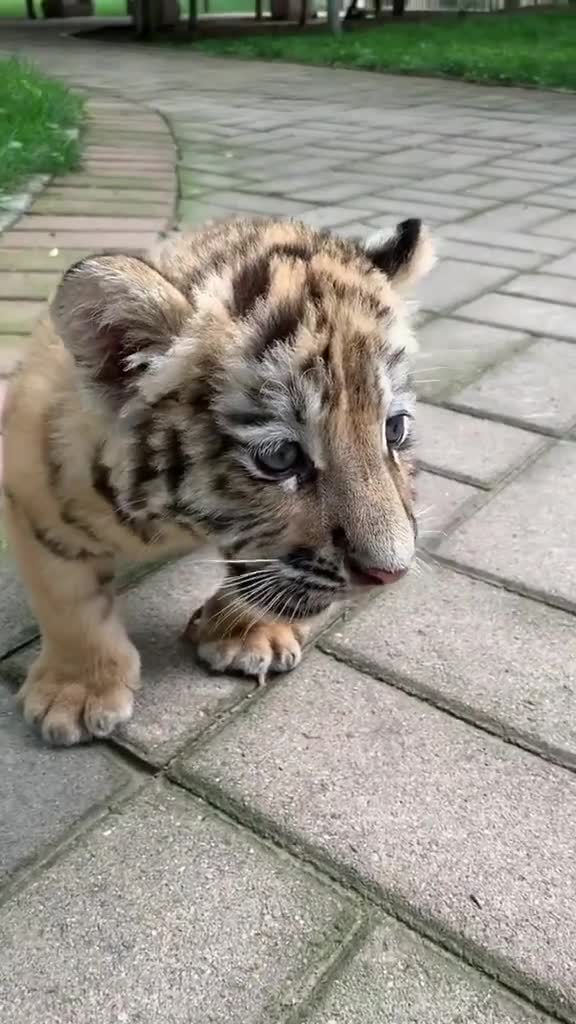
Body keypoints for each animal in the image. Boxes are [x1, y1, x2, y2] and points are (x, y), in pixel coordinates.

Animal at [1, 216, 435, 747]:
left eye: (393, 429)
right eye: (280, 457)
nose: (390, 574)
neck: (174, 522)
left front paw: (248, 634)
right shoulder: (34, 493)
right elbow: (68, 600)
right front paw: (76, 693)